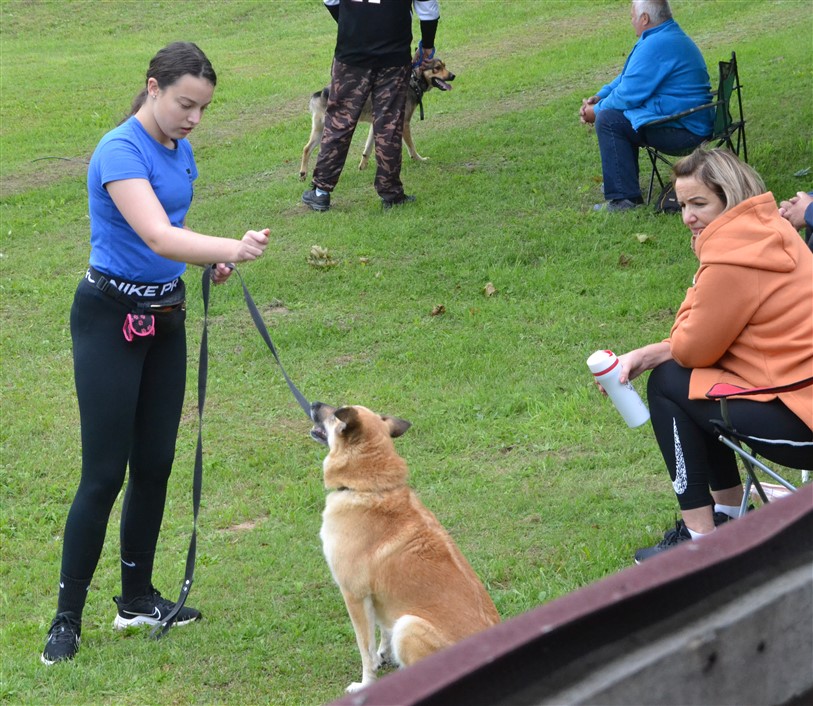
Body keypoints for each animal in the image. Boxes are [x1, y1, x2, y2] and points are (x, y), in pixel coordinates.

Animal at [310, 402, 500, 693]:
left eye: (336, 412)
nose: (314, 404)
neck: (368, 488)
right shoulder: (379, 599)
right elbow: (383, 633)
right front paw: (383, 655)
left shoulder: (354, 595)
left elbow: (365, 650)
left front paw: (366, 683)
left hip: (409, 626)